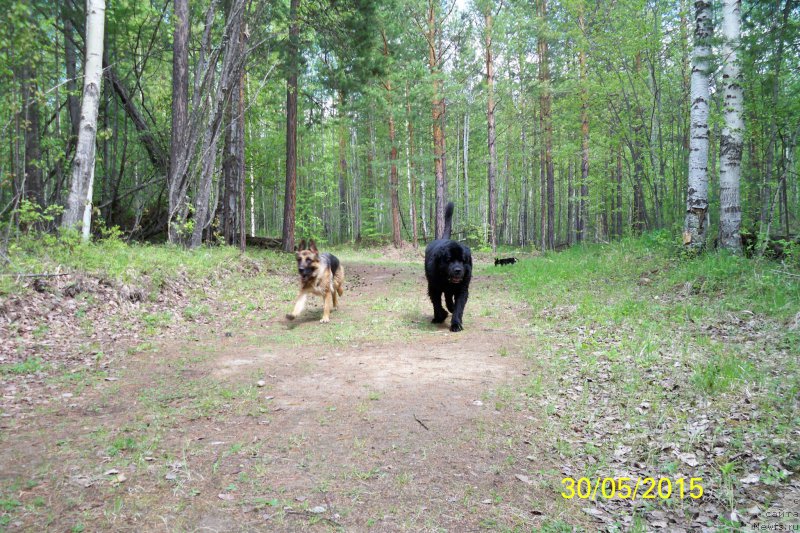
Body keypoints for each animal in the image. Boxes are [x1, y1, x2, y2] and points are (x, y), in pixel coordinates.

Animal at [422, 202, 472, 330]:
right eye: (449, 260)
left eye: (463, 260)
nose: (458, 270)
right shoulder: (433, 287)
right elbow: (436, 304)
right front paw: (441, 315)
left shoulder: (462, 289)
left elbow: (459, 307)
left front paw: (456, 324)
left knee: (449, 298)